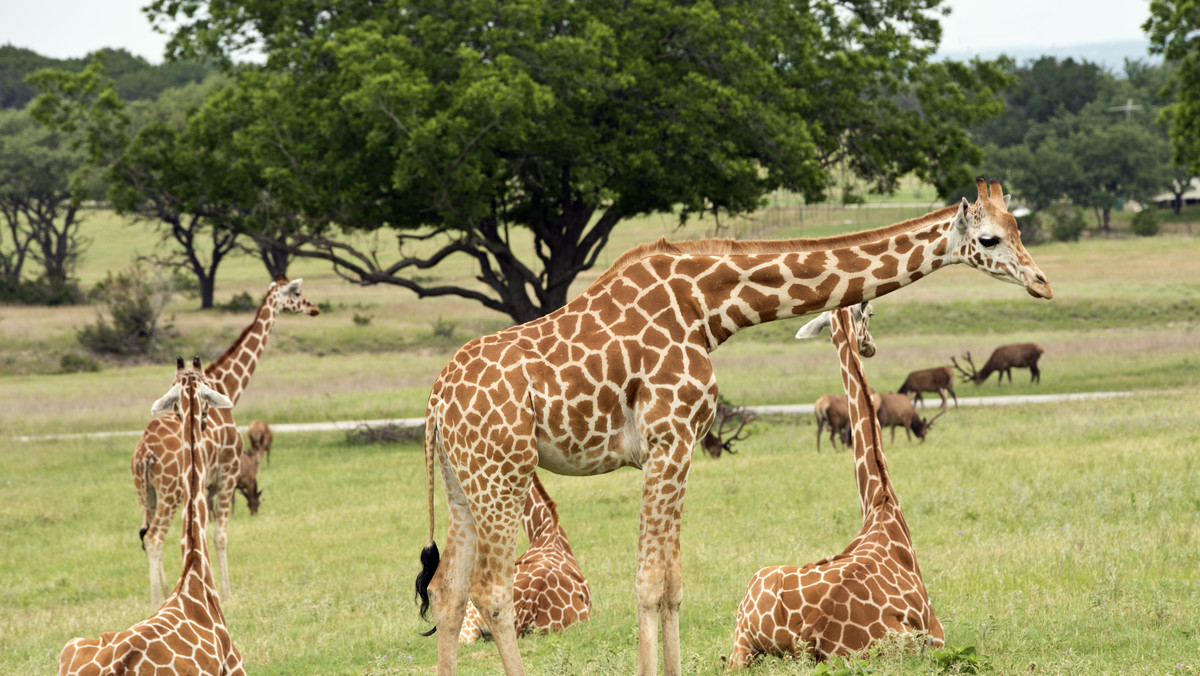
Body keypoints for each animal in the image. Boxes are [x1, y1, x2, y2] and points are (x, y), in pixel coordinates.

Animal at [724, 304, 940, 667]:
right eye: (871, 314)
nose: (871, 346)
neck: (880, 503)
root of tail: (811, 633)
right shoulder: (937, 633)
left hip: (744, 630)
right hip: (904, 647)